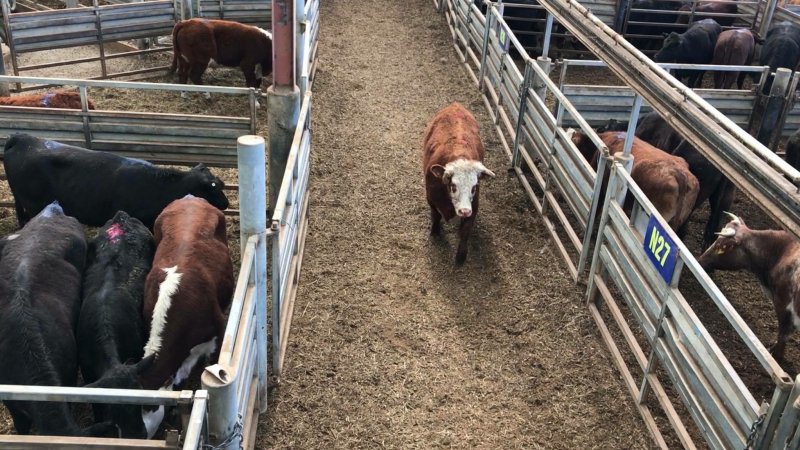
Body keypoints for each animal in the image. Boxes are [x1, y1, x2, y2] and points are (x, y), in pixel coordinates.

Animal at [422, 102, 496, 264]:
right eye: (453, 186)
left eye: (474, 187)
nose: (464, 211)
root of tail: (455, 105)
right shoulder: (431, 198)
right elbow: (436, 215)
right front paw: (435, 232)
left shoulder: (474, 207)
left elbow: (465, 232)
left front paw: (461, 257)